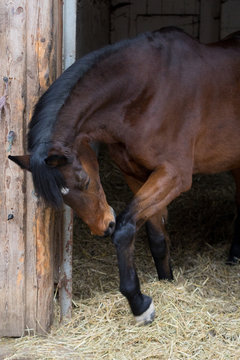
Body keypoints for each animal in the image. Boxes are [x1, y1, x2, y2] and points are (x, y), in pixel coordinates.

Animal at [8, 27, 240, 324]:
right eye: (64, 198)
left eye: (85, 181)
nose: (103, 226)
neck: (149, 91)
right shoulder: (136, 175)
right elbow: (157, 237)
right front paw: (166, 282)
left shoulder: (173, 175)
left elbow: (126, 228)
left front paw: (139, 303)